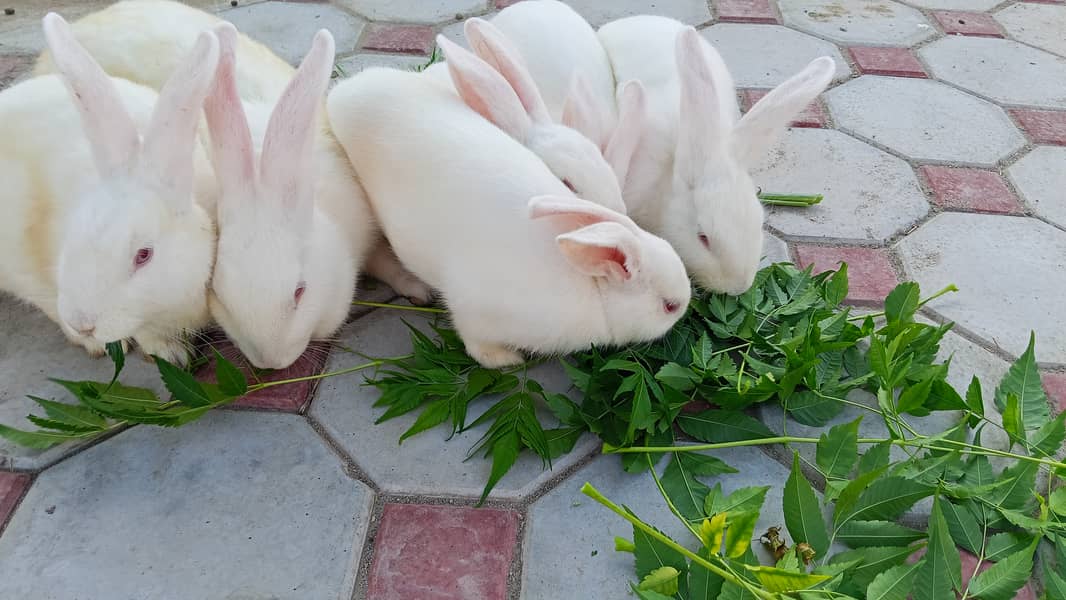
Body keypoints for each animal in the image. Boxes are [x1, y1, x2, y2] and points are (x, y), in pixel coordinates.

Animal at [327, 60, 691, 368]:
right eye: (669, 306)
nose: (687, 304)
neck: (590, 287)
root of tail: (349, 88)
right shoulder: (474, 308)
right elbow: (476, 342)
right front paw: (505, 360)